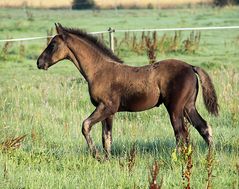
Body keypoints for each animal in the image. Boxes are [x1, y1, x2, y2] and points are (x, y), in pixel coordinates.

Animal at [37, 24, 218, 159]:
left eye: (53, 45)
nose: (39, 63)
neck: (99, 70)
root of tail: (191, 67)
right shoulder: (109, 112)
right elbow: (107, 138)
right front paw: (107, 160)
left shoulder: (106, 107)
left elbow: (85, 125)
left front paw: (96, 156)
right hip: (188, 106)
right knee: (203, 127)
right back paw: (209, 157)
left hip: (175, 108)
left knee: (181, 134)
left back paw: (179, 160)